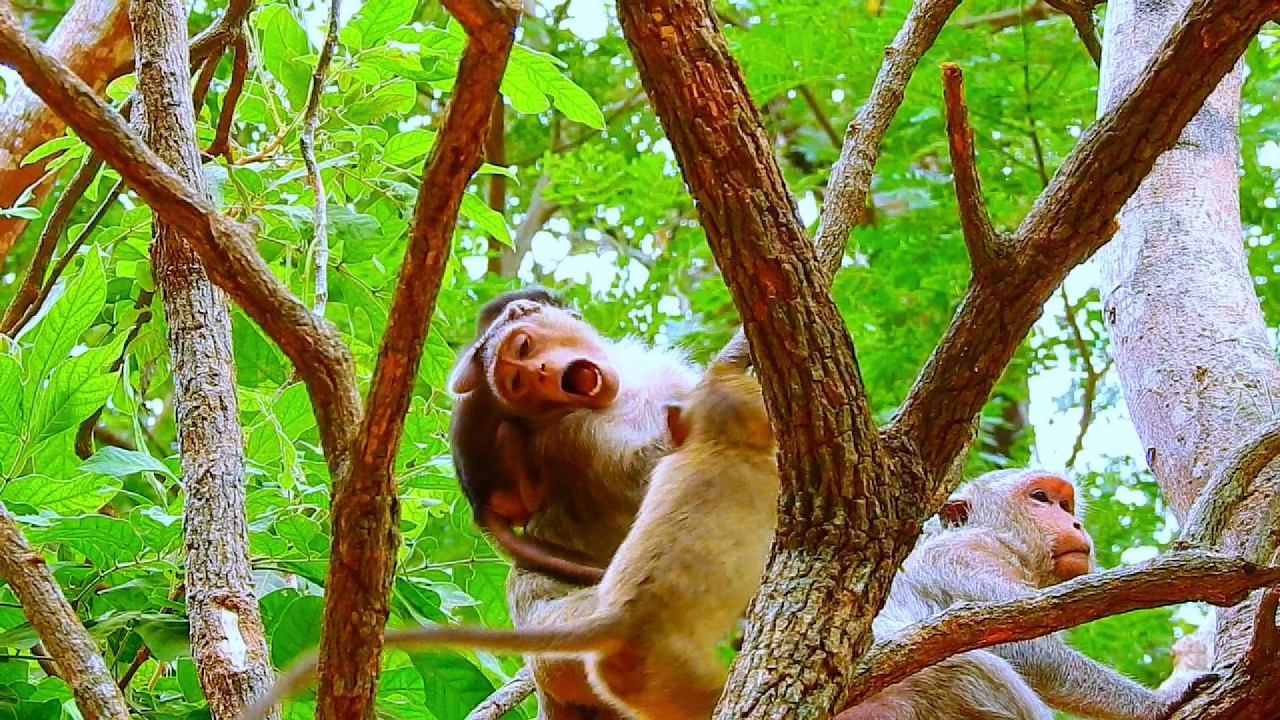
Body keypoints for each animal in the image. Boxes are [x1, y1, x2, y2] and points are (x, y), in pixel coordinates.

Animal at [449, 288, 607, 585]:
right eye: (523, 346)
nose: (541, 370)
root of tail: (478, 502)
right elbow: (461, 382)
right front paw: (514, 312)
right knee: (509, 429)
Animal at [837, 469, 1209, 720]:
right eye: (1040, 498)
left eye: (1065, 504)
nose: (1076, 524)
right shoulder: (967, 558)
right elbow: (1023, 649)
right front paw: (1155, 704)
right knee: (973, 664)